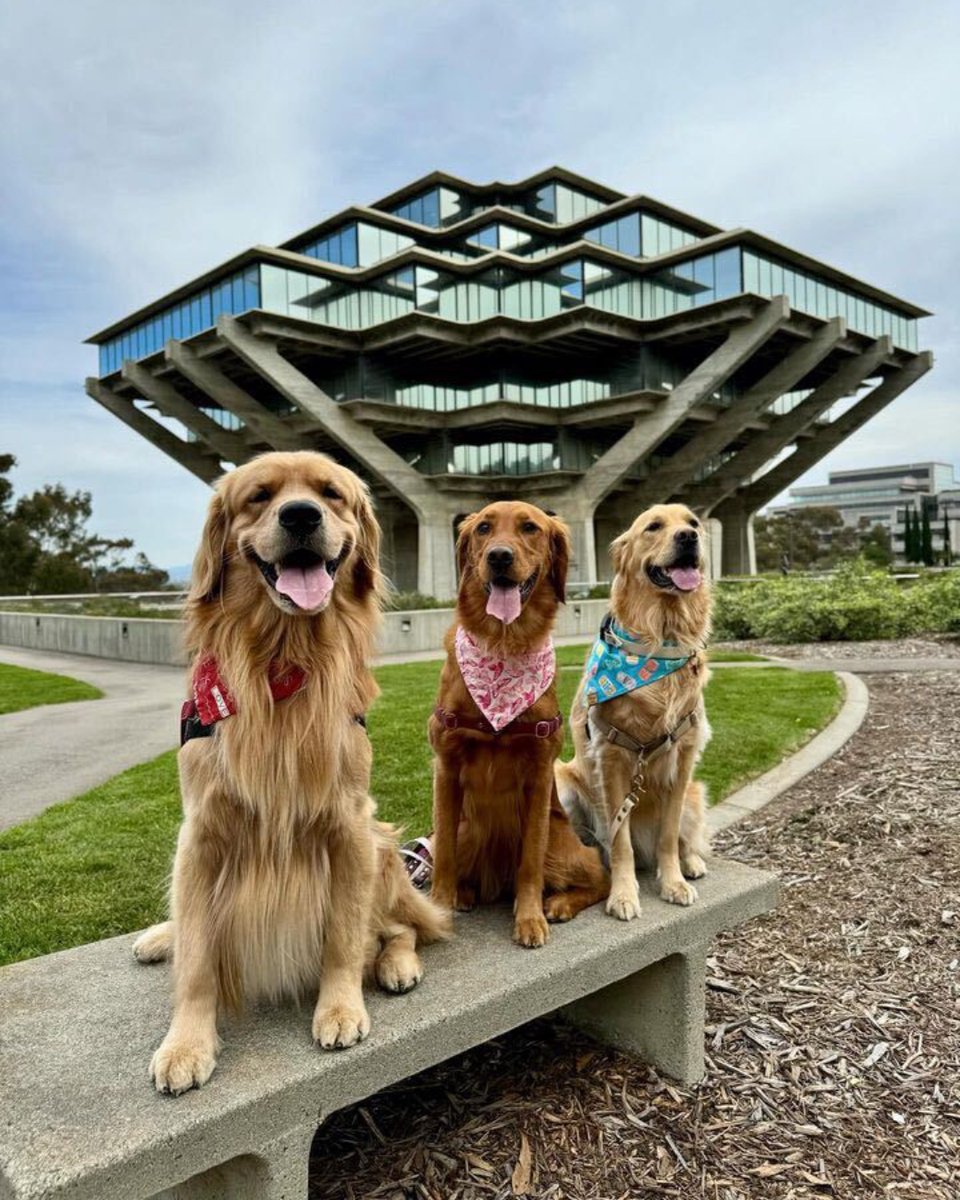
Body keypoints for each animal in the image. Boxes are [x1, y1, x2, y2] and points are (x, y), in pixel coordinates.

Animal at [133, 451, 448, 1099]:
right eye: (259, 495)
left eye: (331, 494)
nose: (301, 515)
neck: (282, 656)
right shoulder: (200, 835)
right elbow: (197, 957)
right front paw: (186, 1044)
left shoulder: (350, 827)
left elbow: (344, 936)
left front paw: (340, 1008)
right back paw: (161, 937)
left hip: (383, 848)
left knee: (397, 927)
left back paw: (398, 964)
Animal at [429, 499, 607, 945]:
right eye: (483, 529)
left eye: (530, 528)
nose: (499, 557)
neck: (503, 644)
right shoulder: (446, 764)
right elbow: (443, 858)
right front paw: (437, 908)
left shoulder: (540, 772)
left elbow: (530, 862)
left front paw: (529, 918)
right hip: (465, 829)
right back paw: (464, 892)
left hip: (561, 842)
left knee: (601, 873)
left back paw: (559, 904)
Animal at [554, 504, 710, 916]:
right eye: (653, 526)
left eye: (693, 522)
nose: (689, 537)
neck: (659, 643)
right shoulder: (611, 759)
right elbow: (619, 840)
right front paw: (622, 895)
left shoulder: (683, 759)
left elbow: (669, 836)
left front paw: (673, 882)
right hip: (563, 783)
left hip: (694, 793)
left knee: (685, 839)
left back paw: (692, 863)